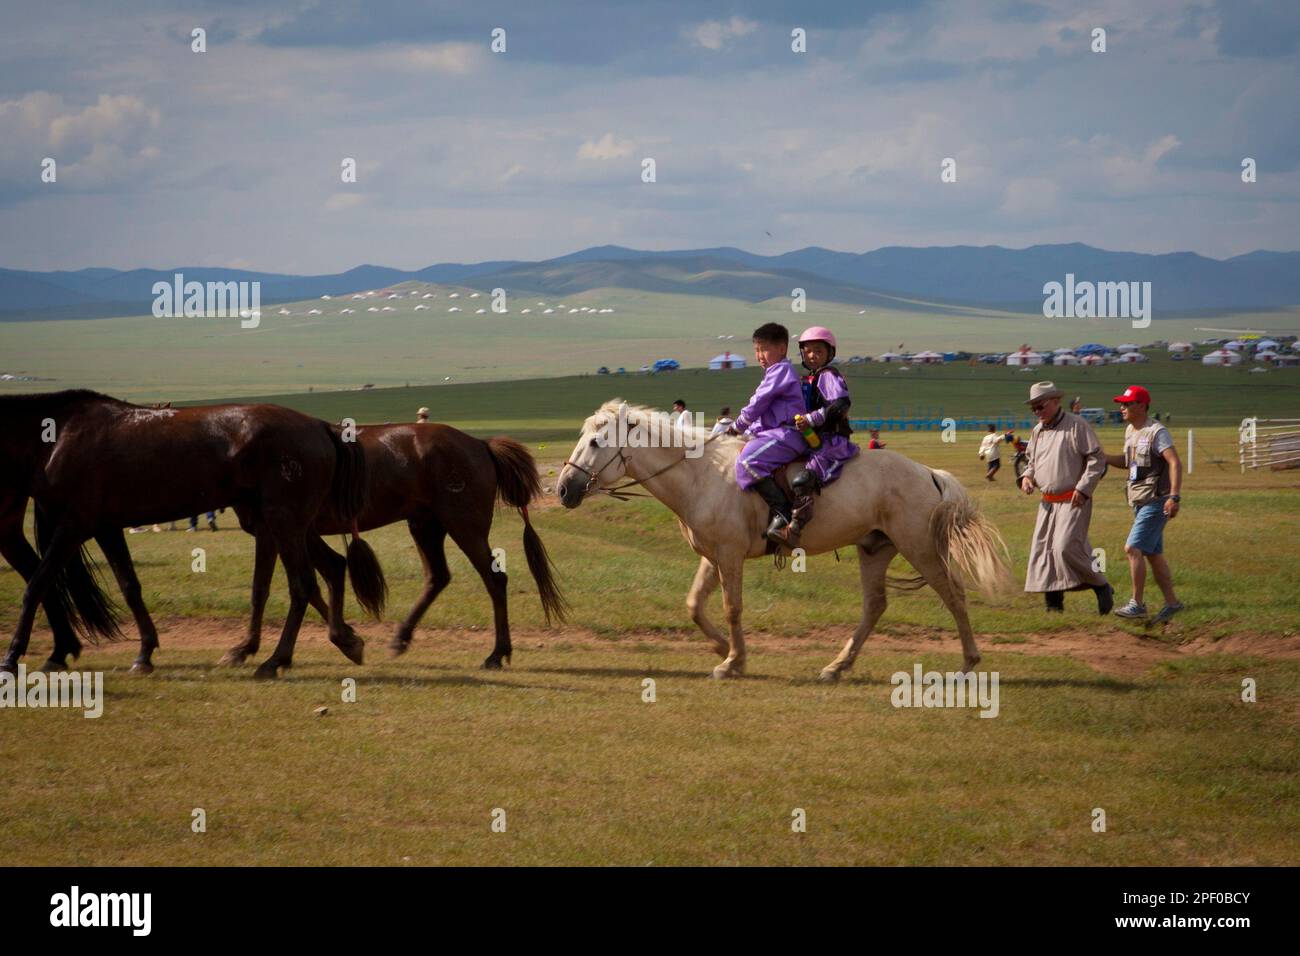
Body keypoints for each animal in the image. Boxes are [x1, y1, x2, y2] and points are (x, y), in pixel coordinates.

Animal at [0, 390, 377, 681]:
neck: (58, 437)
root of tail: (320, 426)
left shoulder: (72, 526)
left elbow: (37, 585)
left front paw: (12, 658)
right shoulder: (106, 527)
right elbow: (129, 586)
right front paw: (144, 654)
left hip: (284, 521)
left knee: (303, 584)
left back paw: (275, 661)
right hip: (289, 524)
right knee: (331, 567)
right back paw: (342, 640)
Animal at [222, 421, 564, 671]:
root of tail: (481, 445)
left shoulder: (274, 530)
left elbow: (269, 588)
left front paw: (250, 650)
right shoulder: (295, 533)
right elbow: (316, 581)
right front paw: (347, 637)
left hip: (464, 526)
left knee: (494, 579)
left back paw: (496, 654)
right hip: (425, 526)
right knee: (438, 576)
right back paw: (401, 637)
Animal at [553, 403, 1008, 681]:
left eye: (595, 442)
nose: (563, 488)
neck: (699, 475)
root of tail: (930, 473)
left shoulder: (730, 555)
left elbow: (732, 608)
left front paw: (732, 661)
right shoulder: (713, 556)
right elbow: (695, 605)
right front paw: (726, 651)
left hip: (919, 547)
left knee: (953, 594)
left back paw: (968, 664)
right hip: (875, 549)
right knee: (875, 606)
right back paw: (836, 667)